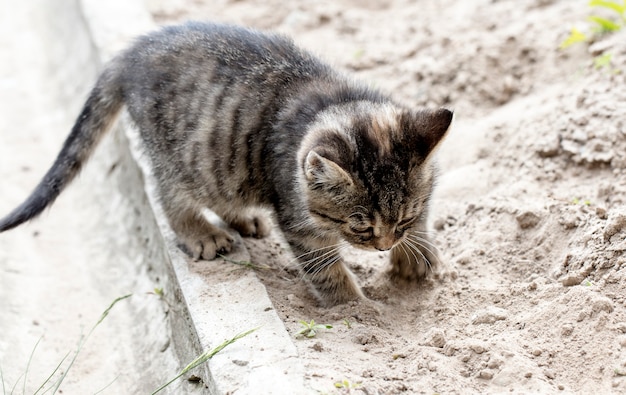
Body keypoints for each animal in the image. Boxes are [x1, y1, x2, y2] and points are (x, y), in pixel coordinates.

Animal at [0, 21, 450, 306]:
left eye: (404, 218)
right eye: (360, 227)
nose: (384, 244)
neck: (332, 100)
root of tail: (133, 51)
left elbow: (424, 218)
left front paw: (416, 255)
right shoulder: (298, 218)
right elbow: (326, 269)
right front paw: (357, 309)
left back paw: (242, 218)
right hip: (185, 157)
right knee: (169, 195)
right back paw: (200, 233)